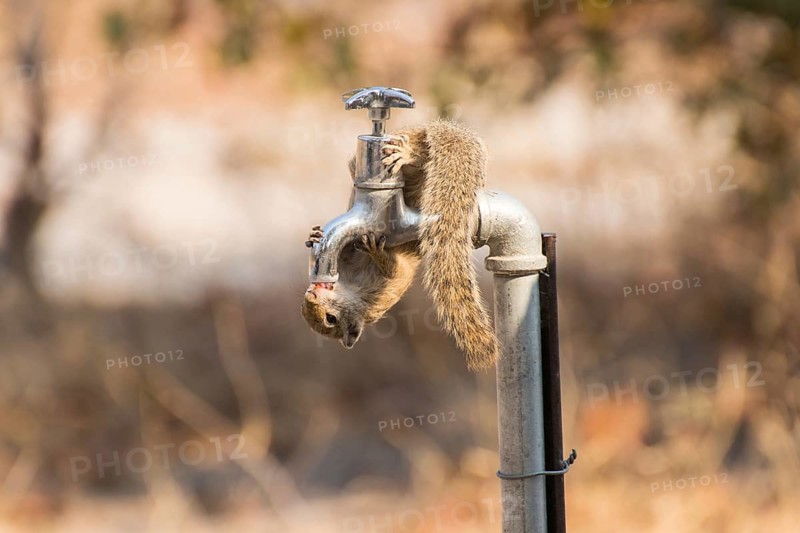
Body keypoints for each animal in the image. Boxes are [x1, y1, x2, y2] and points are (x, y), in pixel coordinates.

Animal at [301, 119, 499, 371]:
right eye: (304, 309)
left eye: (330, 319)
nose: (311, 293)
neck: (351, 287)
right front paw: (314, 234)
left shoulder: (388, 288)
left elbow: (394, 268)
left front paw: (377, 253)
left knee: (420, 155)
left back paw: (406, 153)